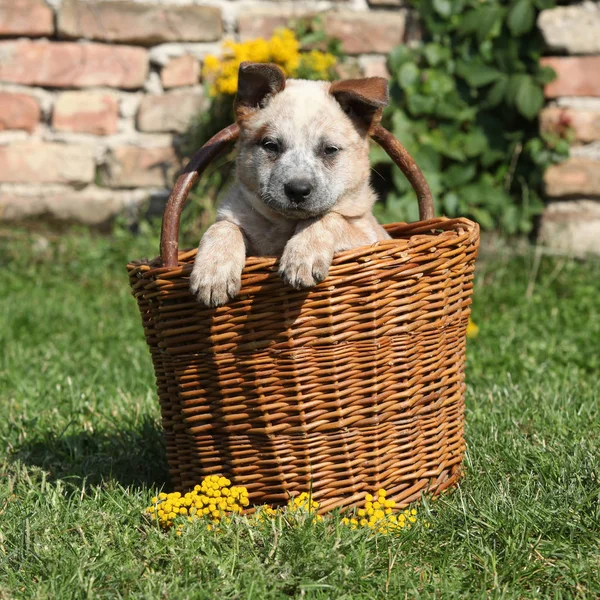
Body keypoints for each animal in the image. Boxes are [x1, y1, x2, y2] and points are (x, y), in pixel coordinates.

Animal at [190, 61, 392, 308]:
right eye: (270, 145)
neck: (284, 226)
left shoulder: (368, 236)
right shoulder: (235, 220)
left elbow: (328, 217)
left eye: (330, 150)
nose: (297, 190)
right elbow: (223, 227)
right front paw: (212, 272)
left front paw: (302, 257)